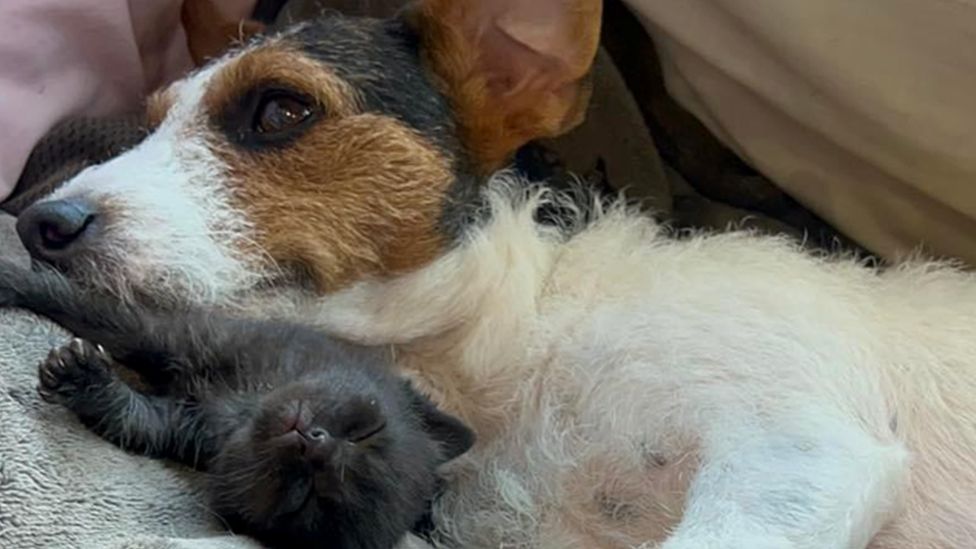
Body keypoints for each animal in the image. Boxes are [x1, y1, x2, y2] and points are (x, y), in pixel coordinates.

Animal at [0, 262, 474, 548]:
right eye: (365, 432)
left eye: (311, 497)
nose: (316, 443)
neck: (244, 403)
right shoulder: (191, 333)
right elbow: (99, 313)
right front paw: (14, 279)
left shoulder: (185, 428)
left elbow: (133, 419)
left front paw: (82, 378)